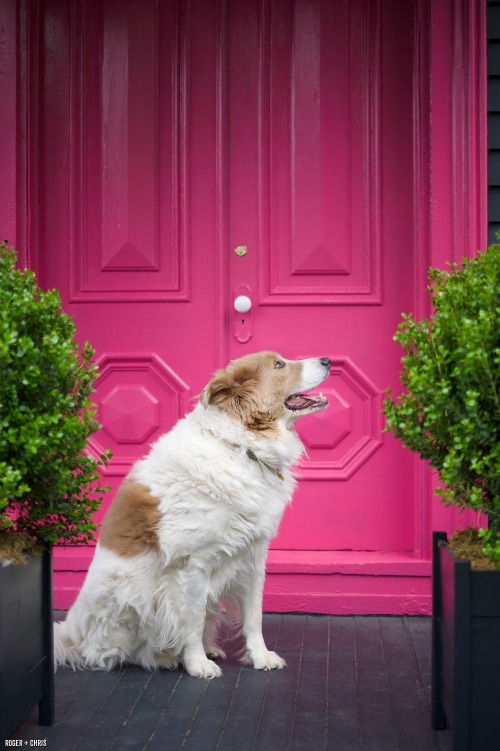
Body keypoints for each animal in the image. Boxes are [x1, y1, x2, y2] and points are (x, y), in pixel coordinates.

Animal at [54, 354, 330, 680]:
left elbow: (254, 617)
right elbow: (192, 621)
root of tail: (72, 634)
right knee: (113, 653)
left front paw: (260, 657)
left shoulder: (253, 558)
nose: (327, 360)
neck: (240, 446)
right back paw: (162, 658)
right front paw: (197, 664)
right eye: (279, 365)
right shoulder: (194, 564)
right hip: (129, 590)